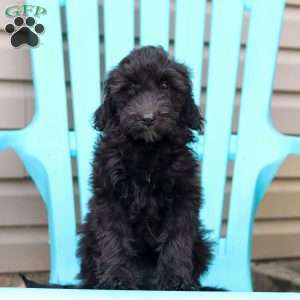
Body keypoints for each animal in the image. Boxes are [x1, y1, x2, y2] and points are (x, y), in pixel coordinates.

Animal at [24, 46, 220, 290]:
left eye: (165, 85)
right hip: (88, 238)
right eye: (130, 89)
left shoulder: (183, 197)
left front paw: (176, 280)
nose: (148, 118)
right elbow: (114, 238)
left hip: (201, 244)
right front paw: (116, 279)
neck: (147, 150)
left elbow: (177, 238)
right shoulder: (110, 197)